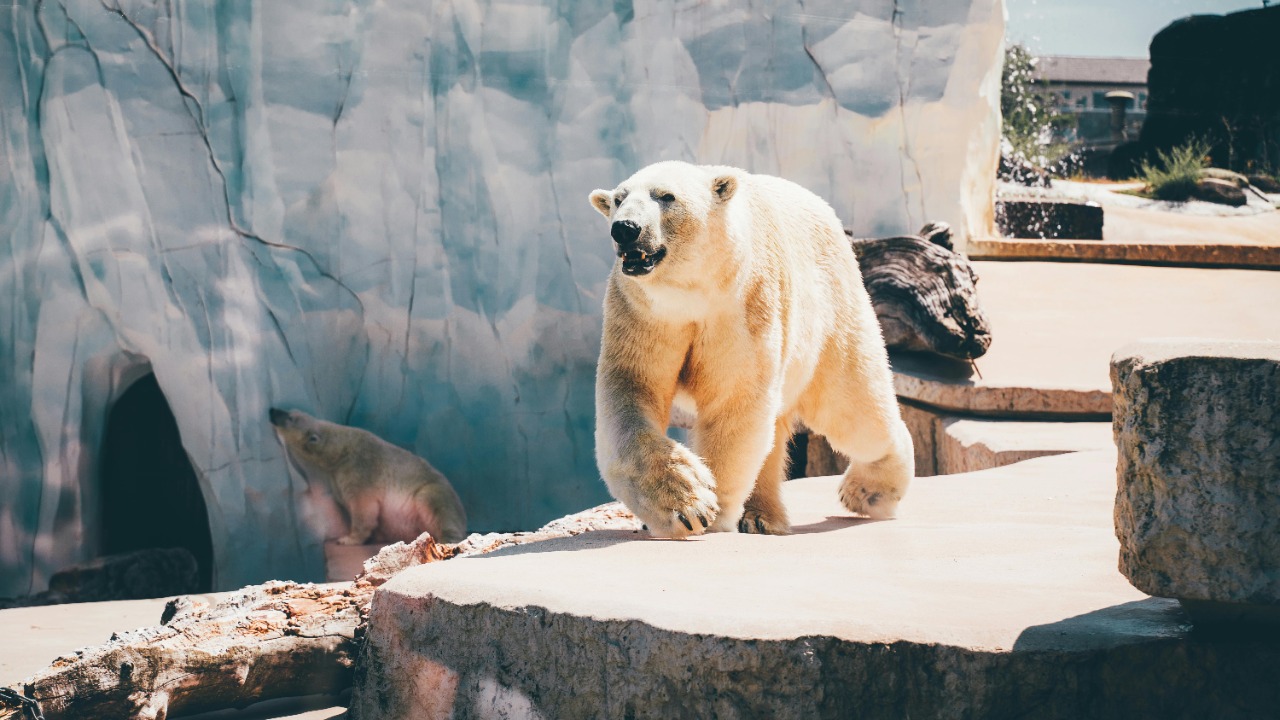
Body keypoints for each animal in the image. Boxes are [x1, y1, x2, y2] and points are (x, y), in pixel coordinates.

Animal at [269, 408, 467, 544]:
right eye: (291, 411)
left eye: (290, 417)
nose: (272, 410)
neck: (341, 449)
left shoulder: (360, 469)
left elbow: (362, 505)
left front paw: (347, 538)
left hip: (432, 492)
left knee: (434, 503)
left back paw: (447, 538)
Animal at [588, 161, 914, 537]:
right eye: (617, 199)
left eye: (666, 196)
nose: (625, 229)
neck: (691, 295)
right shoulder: (642, 314)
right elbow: (631, 392)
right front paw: (686, 505)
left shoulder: (742, 306)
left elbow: (734, 401)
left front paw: (710, 514)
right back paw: (762, 515)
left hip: (831, 314)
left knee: (853, 410)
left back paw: (866, 492)